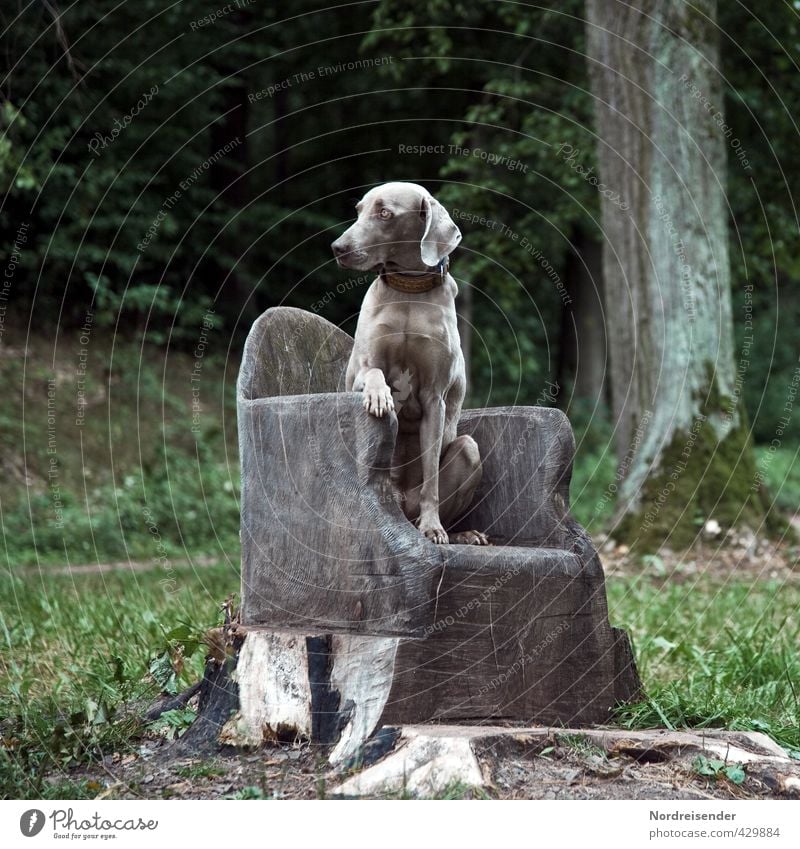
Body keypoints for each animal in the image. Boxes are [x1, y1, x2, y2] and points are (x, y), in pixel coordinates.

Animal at [332, 182, 488, 548]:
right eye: (358, 210)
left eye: (385, 213)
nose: (338, 248)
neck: (409, 290)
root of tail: (399, 503)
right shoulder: (359, 371)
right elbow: (374, 371)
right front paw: (380, 397)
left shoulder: (435, 397)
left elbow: (431, 474)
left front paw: (433, 528)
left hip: (468, 450)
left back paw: (461, 533)